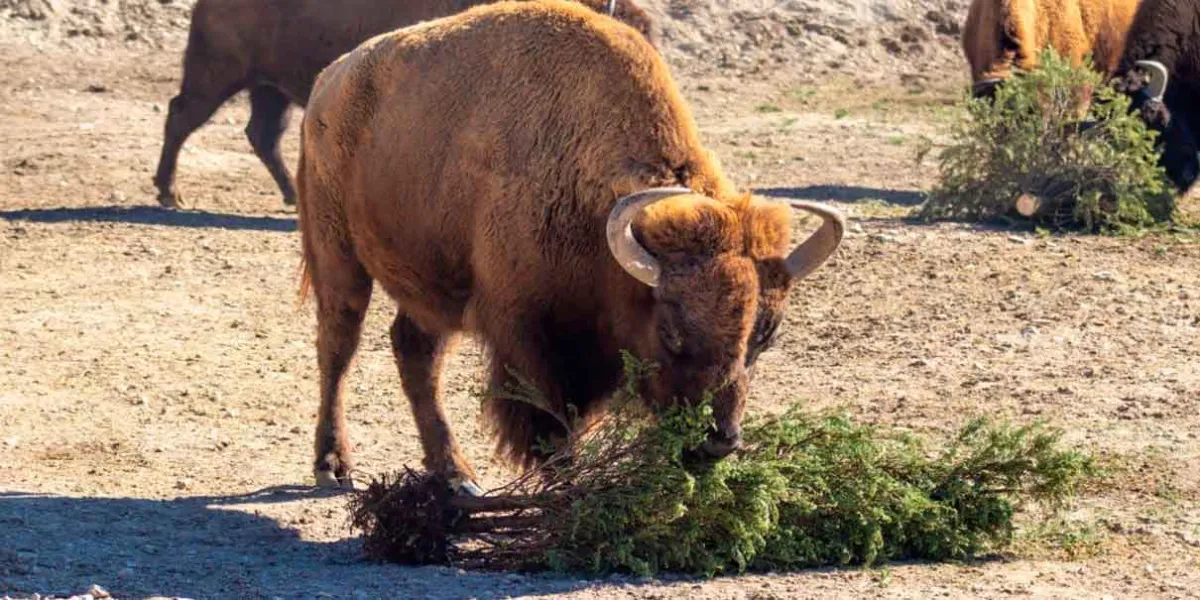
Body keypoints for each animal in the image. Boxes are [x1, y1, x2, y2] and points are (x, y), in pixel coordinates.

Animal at [296, 0, 849, 492]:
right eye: (670, 331)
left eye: (766, 336)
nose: (716, 443)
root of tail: (328, 82)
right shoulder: (526, 333)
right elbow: (552, 425)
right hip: (337, 254)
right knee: (338, 345)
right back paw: (333, 465)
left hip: (433, 285)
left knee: (415, 352)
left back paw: (456, 475)